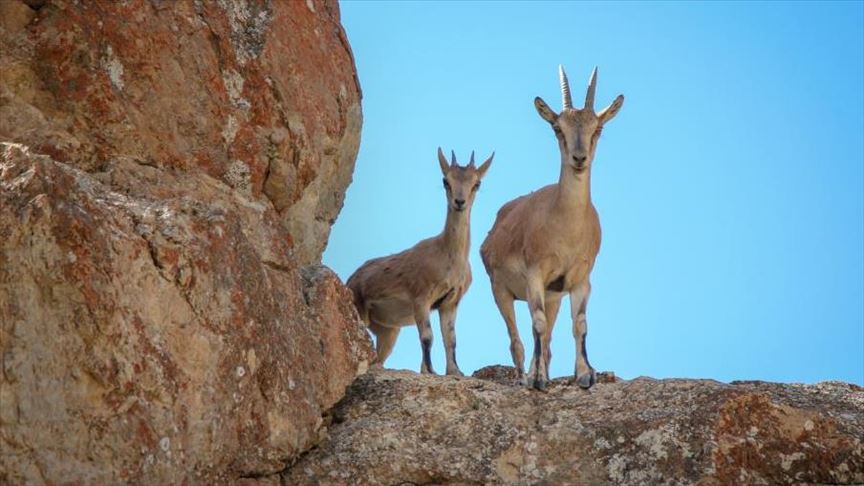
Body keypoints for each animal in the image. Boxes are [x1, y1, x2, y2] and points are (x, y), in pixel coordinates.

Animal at [346, 148, 492, 376]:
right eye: (446, 180)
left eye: (477, 183)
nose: (459, 202)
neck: (449, 257)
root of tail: (350, 280)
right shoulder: (421, 298)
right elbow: (427, 336)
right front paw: (429, 370)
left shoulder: (450, 302)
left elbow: (451, 339)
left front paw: (454, 371)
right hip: (361, 312)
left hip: (389, 330)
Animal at [482, 65, 624, 392]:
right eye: (557, 129)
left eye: (597, 128)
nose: (579, 158)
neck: (565, 229)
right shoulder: (535, 274)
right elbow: (536, 323)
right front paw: (537, 380)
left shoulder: (578, 280)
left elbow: (580, 324)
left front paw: (585, 375)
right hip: (501, 290)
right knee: (517, 340)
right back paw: (524, 377)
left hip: (553, 297)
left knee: (546, 341)